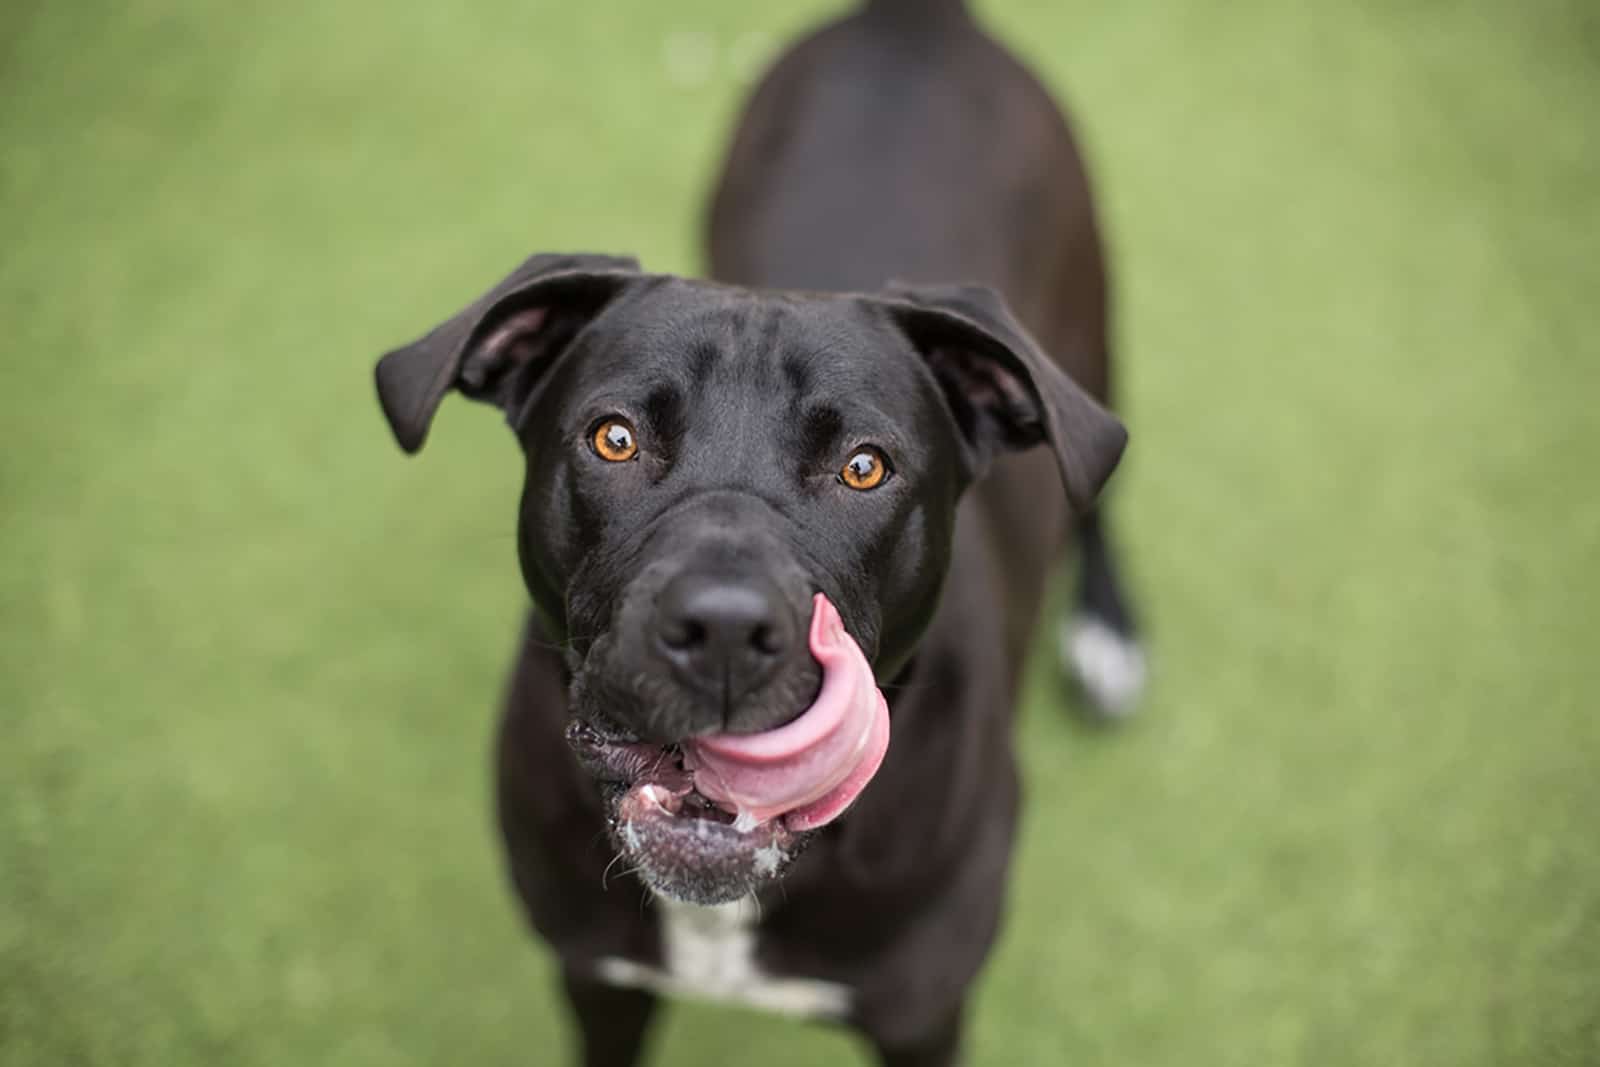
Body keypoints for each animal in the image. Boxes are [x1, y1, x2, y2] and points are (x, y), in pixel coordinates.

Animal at [377, 2, 1139, 1067]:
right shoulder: (595, 977)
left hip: (1091, 335)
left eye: (865, 466)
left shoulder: (924, 1012)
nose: (725, 632)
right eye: (614, 438)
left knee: (1098, 481)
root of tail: (913, 20)